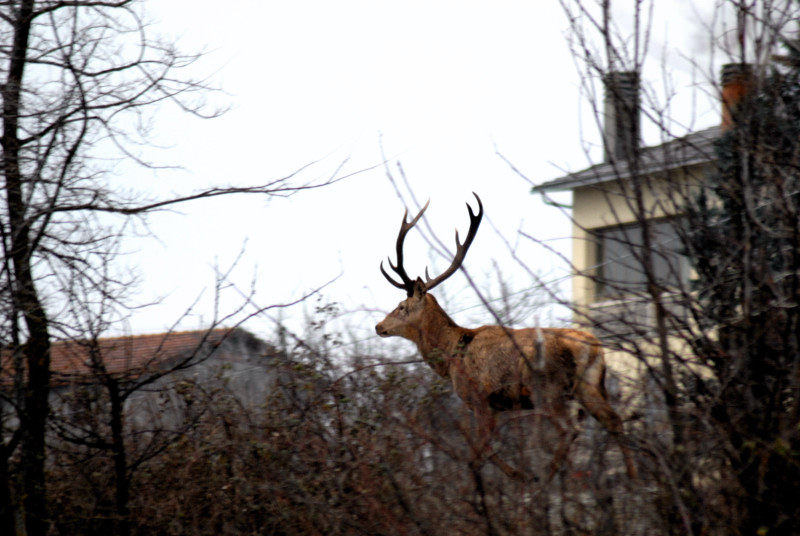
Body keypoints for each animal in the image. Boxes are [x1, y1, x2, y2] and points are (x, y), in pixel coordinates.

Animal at [376, 194, 636, 482]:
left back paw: (545, 479)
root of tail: (591, 347)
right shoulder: (498, 406)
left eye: (401, 306)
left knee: (569, 429)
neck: (452, 353)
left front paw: (514, 476)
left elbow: (481, 453)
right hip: (590, 385)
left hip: (548, 387)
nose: (379, 326)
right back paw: (631, 479)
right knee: (614, 421)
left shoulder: (479, 398)